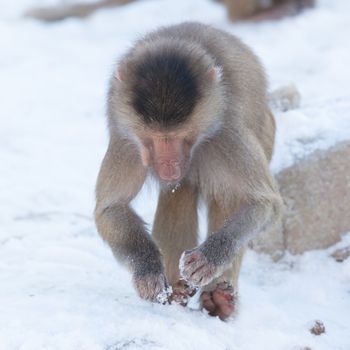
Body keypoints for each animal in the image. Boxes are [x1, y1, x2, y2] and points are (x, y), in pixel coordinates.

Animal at [94, 21, 284, 320]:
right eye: (155, 137)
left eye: (179, 135)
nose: (169, 165)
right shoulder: (127, 140)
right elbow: (110, 208)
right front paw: (148, 270)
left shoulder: (227, 133)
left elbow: (264, 203)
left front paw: (209, 258)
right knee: (179, 192)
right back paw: (177, 292)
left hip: (266, 132)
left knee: (228, 194)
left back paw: (219, 298)